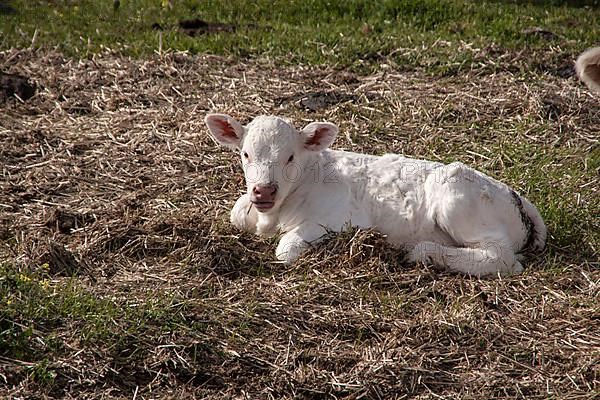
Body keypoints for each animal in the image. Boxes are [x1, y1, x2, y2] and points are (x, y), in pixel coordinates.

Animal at [204, 112, 548, 276]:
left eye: (290, 157)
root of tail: (513, 193)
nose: (263, 189)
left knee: (501, 257)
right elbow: (236, 213)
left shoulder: (339, 219)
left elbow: (285, 249)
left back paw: (423, 252)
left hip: (457, 200)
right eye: (245, 154)